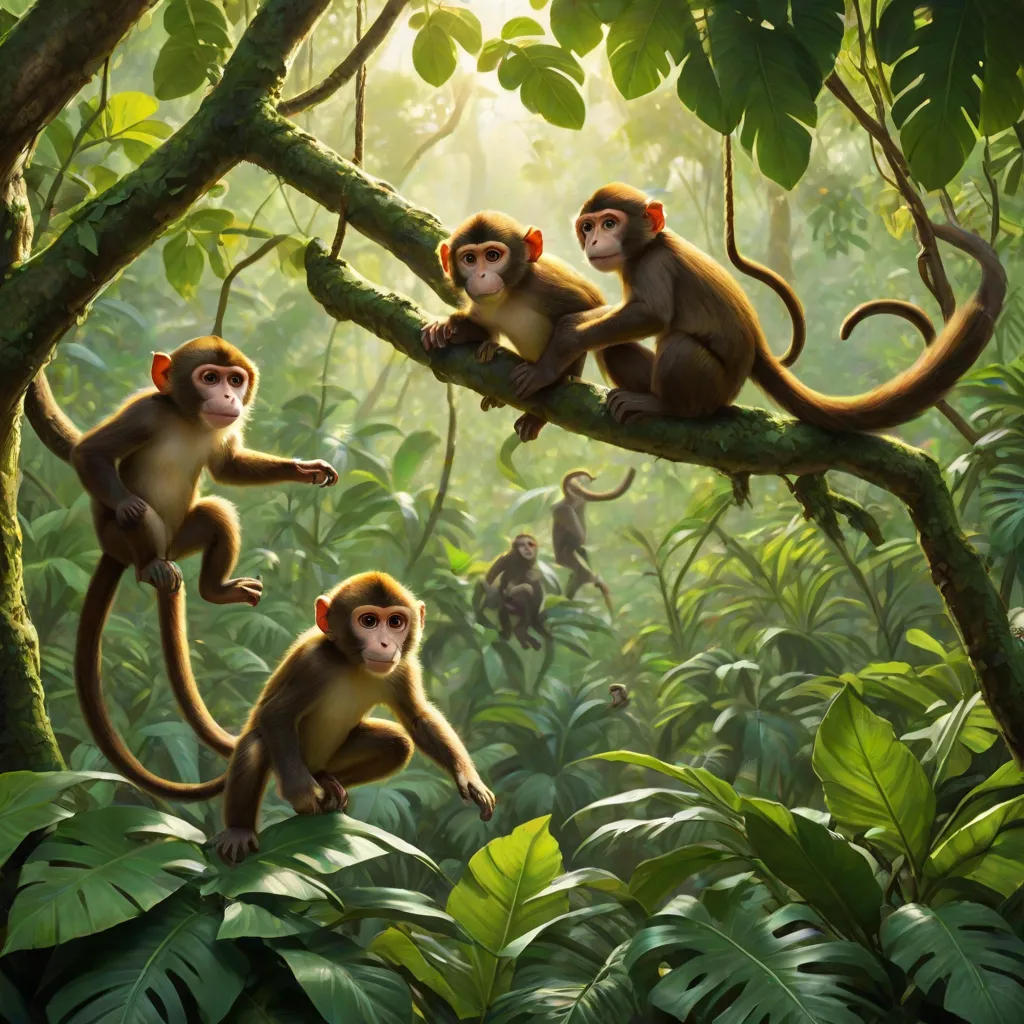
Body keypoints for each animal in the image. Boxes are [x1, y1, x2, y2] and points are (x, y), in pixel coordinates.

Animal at [24, 336, 339, 795]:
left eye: (234, 380)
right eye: (209, 377)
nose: (227, 397)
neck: (188, 420)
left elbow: (228, 469)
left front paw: (304, 469)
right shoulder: (145, 413)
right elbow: (90, 453)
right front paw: (124, 501)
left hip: (183, 537)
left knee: (215, 515)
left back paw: (215, 590)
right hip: (124, 540)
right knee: (143, 520)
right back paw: (149, 564)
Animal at [216, 571, 495, 863]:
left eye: (395, 622)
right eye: (368, 621)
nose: (385, 644)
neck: (352, 664)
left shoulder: (403, 667)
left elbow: (418, 719)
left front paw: (469, 779)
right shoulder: (312, 664)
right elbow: (277, 714)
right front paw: (302, 792)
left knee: (397, 743)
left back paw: (326, 781)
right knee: (256, 746)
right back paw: (240, 830)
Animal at [420, 211, 653, 441]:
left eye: (493, 256)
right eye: (469, 258)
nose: (481, 276)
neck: (511, 293)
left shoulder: (544, 284)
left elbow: (588, 317)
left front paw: (545, 377)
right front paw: (451, 328)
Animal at [510, 143, 1005, 433]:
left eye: (610, 223)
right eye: (588, 226)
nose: (595, 241)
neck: (648, 245)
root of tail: (757, 351)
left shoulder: (653, 264)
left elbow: (650, 314)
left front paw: (562, 344)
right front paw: (572, 326)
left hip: (710, 387)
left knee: (679, 348)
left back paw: (667, 408)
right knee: (615, 348)